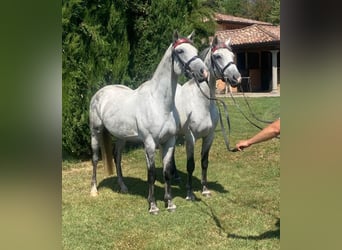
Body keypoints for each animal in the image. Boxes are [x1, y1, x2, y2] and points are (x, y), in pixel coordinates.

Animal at [89, 31, 207, 214]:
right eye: (180, 51)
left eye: (195, 50)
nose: (203, 72)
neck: (158, 102)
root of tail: (100, 92)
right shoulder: (150, 143)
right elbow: (151, 174)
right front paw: (153, 206)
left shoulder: (169, 141)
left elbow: (167, 172)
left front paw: (170, 202)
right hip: (96, 131)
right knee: (95, 158)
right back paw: (94, 190)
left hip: (121, 136)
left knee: (117, 157)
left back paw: (123, 187)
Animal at [172, 35, 242, 200]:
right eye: (218, 56)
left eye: (232, 56)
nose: (236, 78)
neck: (201, 102)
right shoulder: (190, 138)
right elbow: (190, 165)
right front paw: (190, 193)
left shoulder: (209, 136)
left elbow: (204, 162)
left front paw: (205, 189)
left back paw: (176, 176)